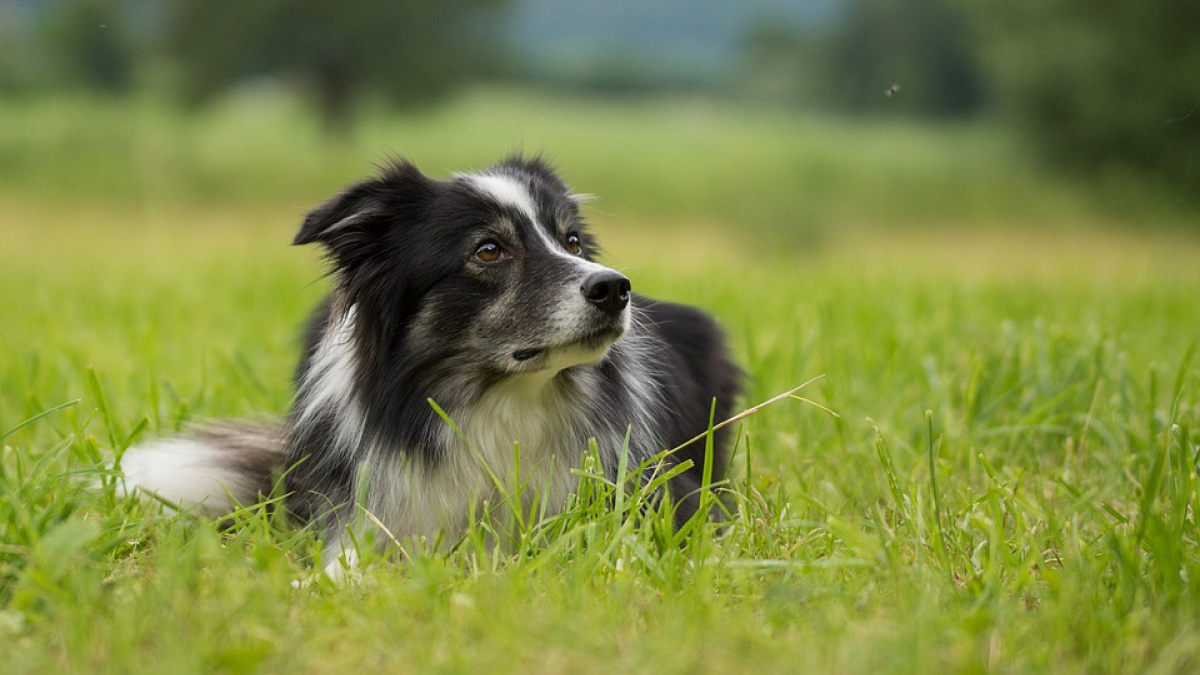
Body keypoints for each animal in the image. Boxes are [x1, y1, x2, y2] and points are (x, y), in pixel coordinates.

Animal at [124, 154, 739, 576]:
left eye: (572, 243)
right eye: (488, 250)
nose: (615, 289)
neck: (497, 400)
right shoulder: (367, 513)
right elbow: (344, 563)